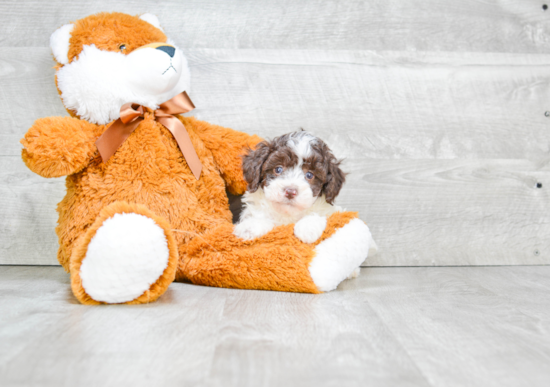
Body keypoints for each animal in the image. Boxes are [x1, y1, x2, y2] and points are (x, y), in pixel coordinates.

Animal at [235, 132, 378, 278]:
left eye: (310, 175)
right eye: (278, 169)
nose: (290, 191)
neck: (288, 214)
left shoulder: (329, 210)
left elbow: (319, 214)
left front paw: (307, 228)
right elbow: (258, 216)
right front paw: (249, 228)